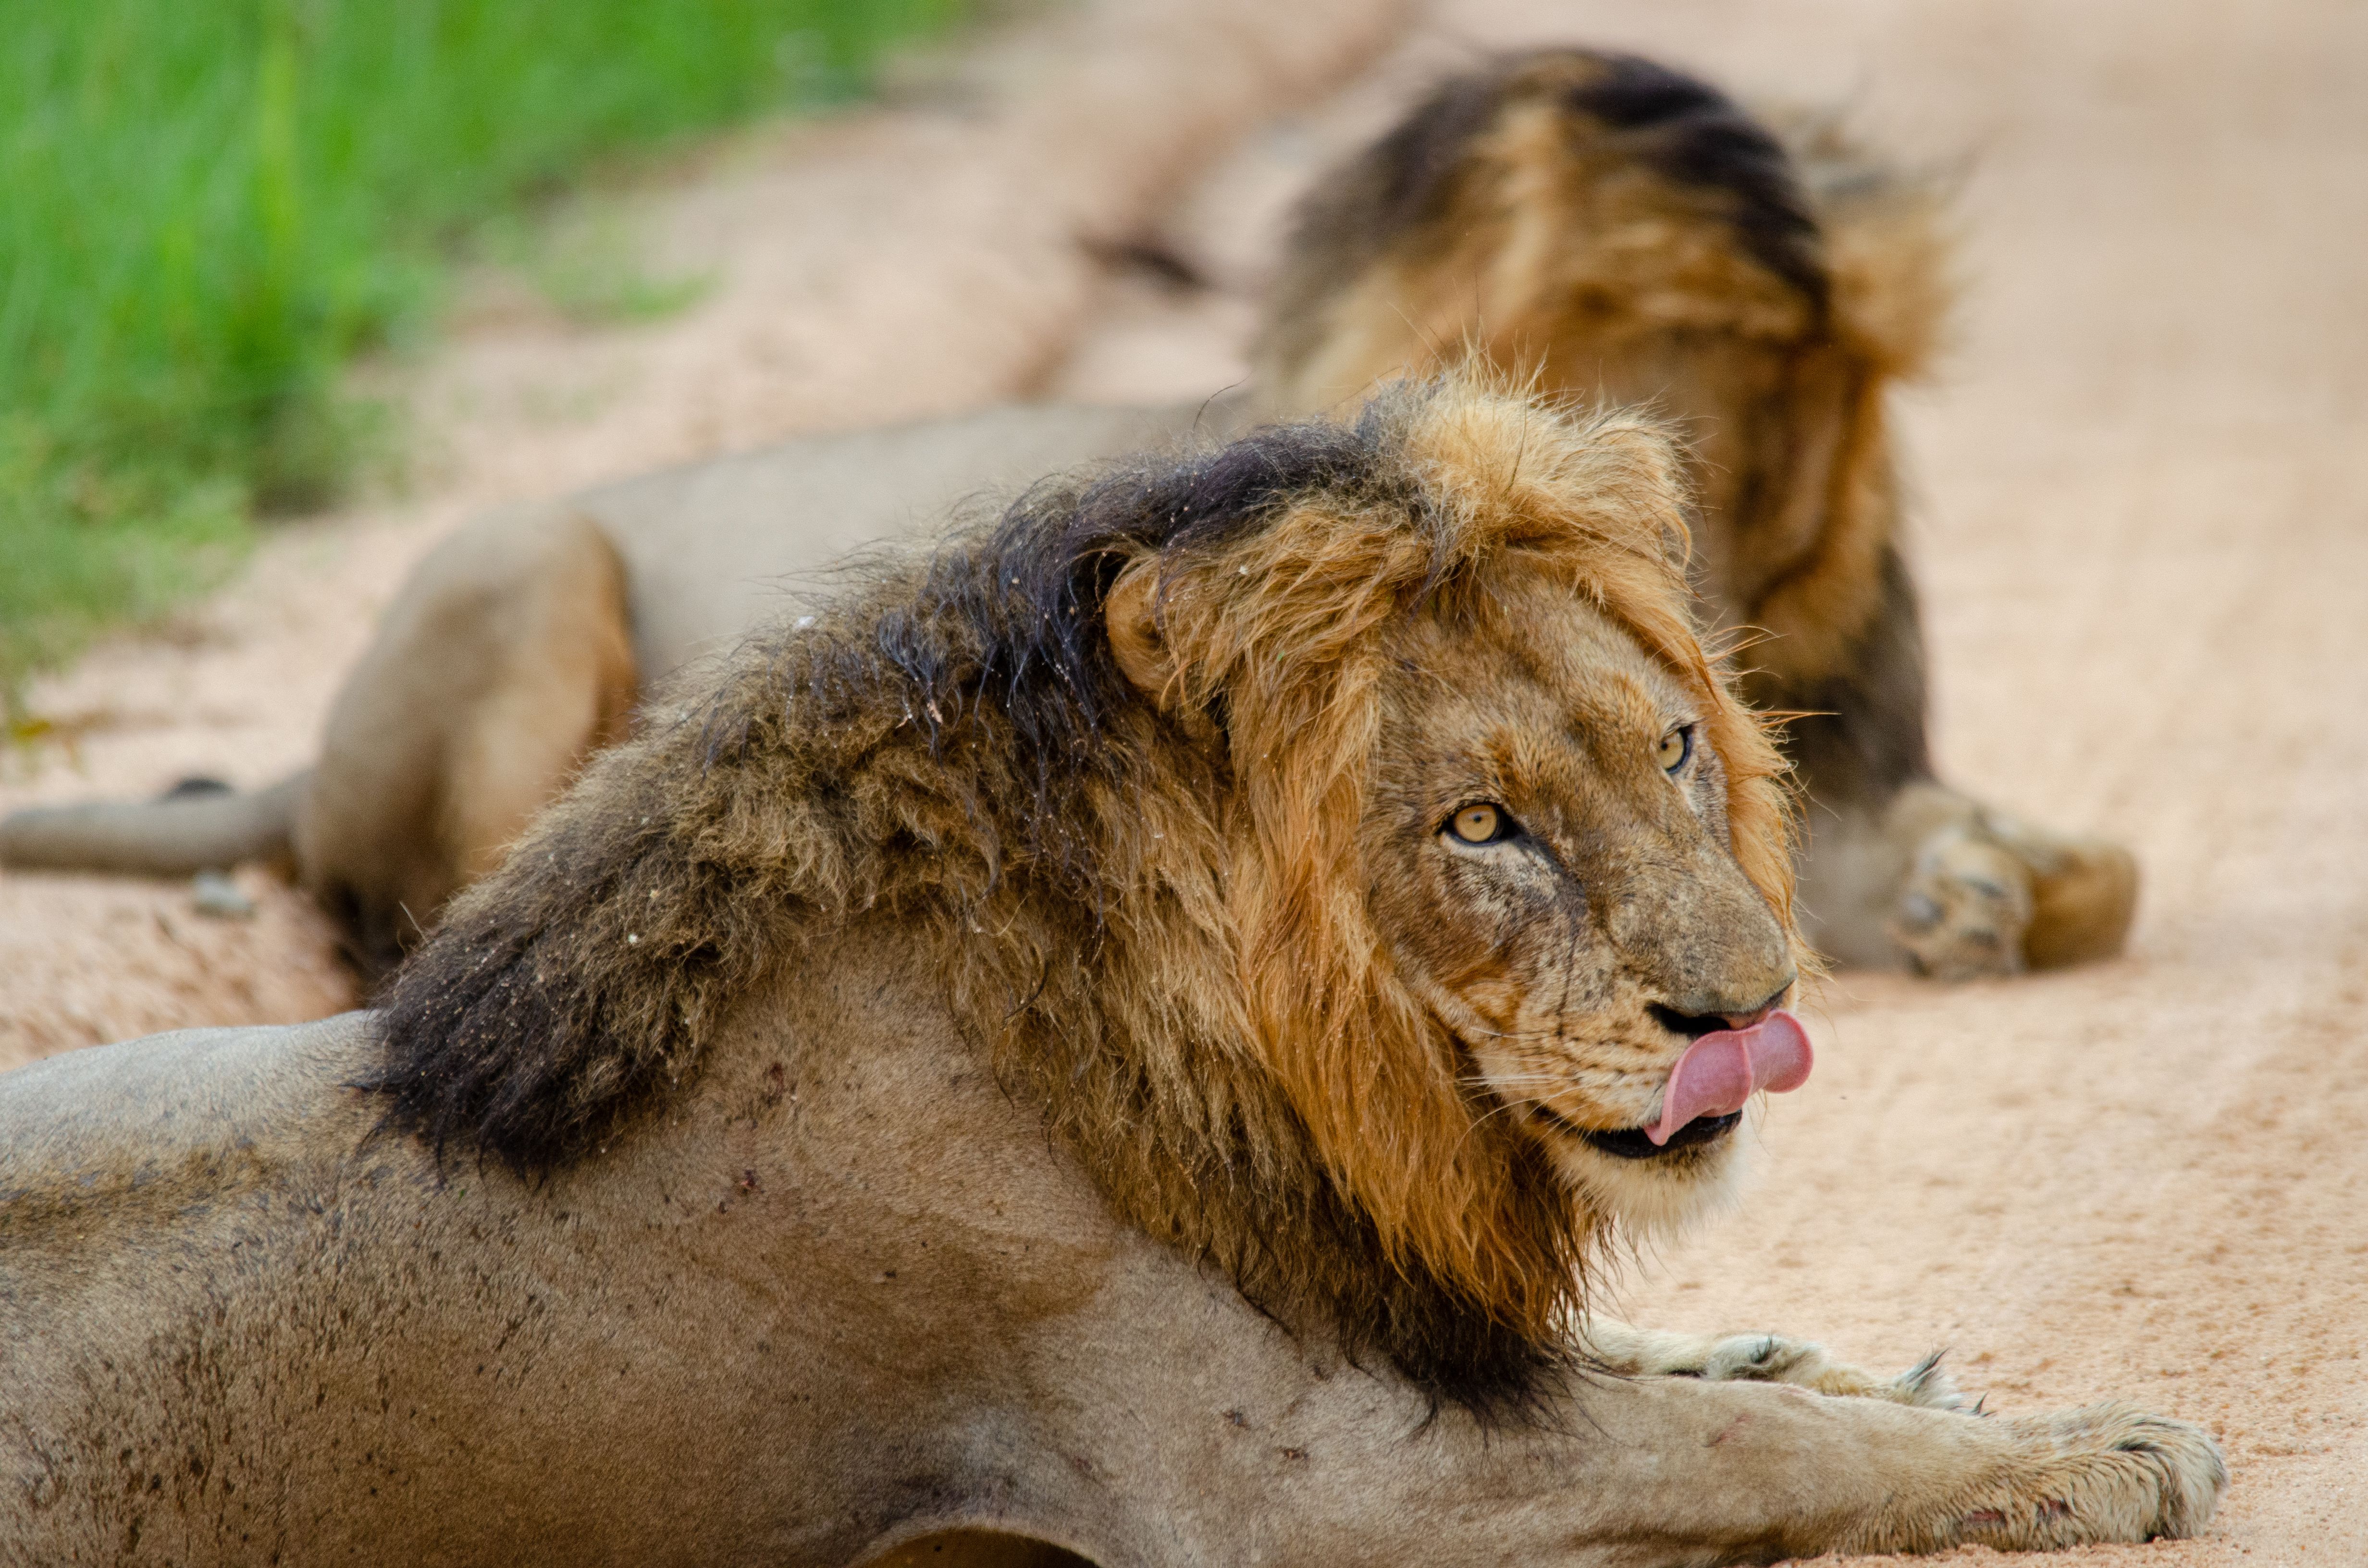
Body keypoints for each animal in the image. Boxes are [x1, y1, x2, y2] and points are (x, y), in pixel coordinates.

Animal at [0, 48, 2135, 983]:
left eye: (1746, 422)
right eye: (1580, 374)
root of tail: (305, 752)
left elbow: (2042, 851)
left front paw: (2004, 873)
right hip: (523, 557)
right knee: (432, 910)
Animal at [0, 381, 2222, 1563]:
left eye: (1673, 747)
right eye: (1478, 827)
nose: (1751, 1006)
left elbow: (1703, 1387)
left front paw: (1864, 1364)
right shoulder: (1297, 1496)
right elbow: (1747, 1455)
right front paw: (2088, 1450)